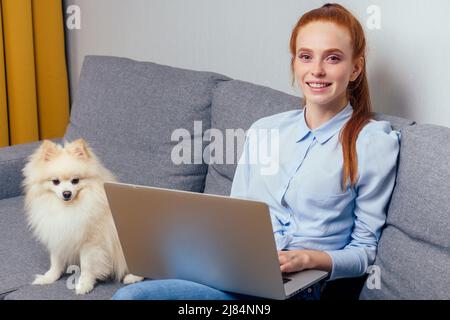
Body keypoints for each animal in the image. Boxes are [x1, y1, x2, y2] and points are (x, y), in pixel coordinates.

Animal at [22, 139, 143, 294]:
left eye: (75, 180)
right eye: (55, 181)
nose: (66, 193)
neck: (67, 209)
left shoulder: (90, 243)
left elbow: (87, 267)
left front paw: (84, 285)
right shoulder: (57, 235)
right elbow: (55, 262)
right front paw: (48, 277)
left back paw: (132, 277)